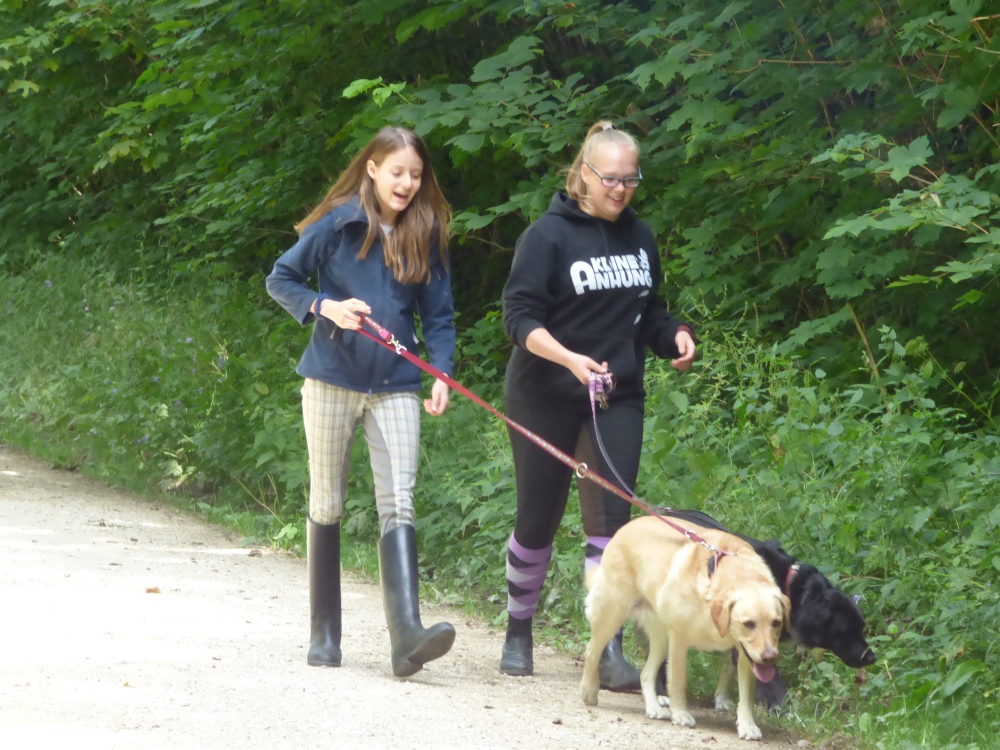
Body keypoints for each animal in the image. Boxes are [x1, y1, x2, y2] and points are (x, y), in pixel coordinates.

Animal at [580, 514, 790, 741]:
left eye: (776, 623)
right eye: (748, 624)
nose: (770, 657)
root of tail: (629, 525)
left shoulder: (745, 656)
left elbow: (746, 695)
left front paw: (747, 725)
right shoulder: (679, 640)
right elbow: (678, 681)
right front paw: (680, 713)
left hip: (661, 637)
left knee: (646, 674)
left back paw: (654, 707)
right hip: (612, 614)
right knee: (591, 651)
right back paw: (589, 690)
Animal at [658, 509, 877, 709]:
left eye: (861, 628)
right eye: (845, 630)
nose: (872, 658)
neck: (790, 586)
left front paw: (722, 700)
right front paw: (789, 711)